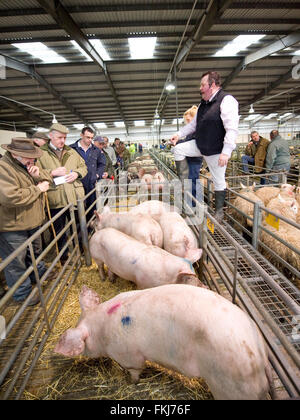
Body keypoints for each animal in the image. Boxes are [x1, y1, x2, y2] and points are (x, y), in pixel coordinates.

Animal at [54, 286, 274, 400]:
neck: (102, 328)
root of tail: (261, 354)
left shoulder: (129, 355)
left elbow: (135, 371)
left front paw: (131, 382)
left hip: (232, 386)